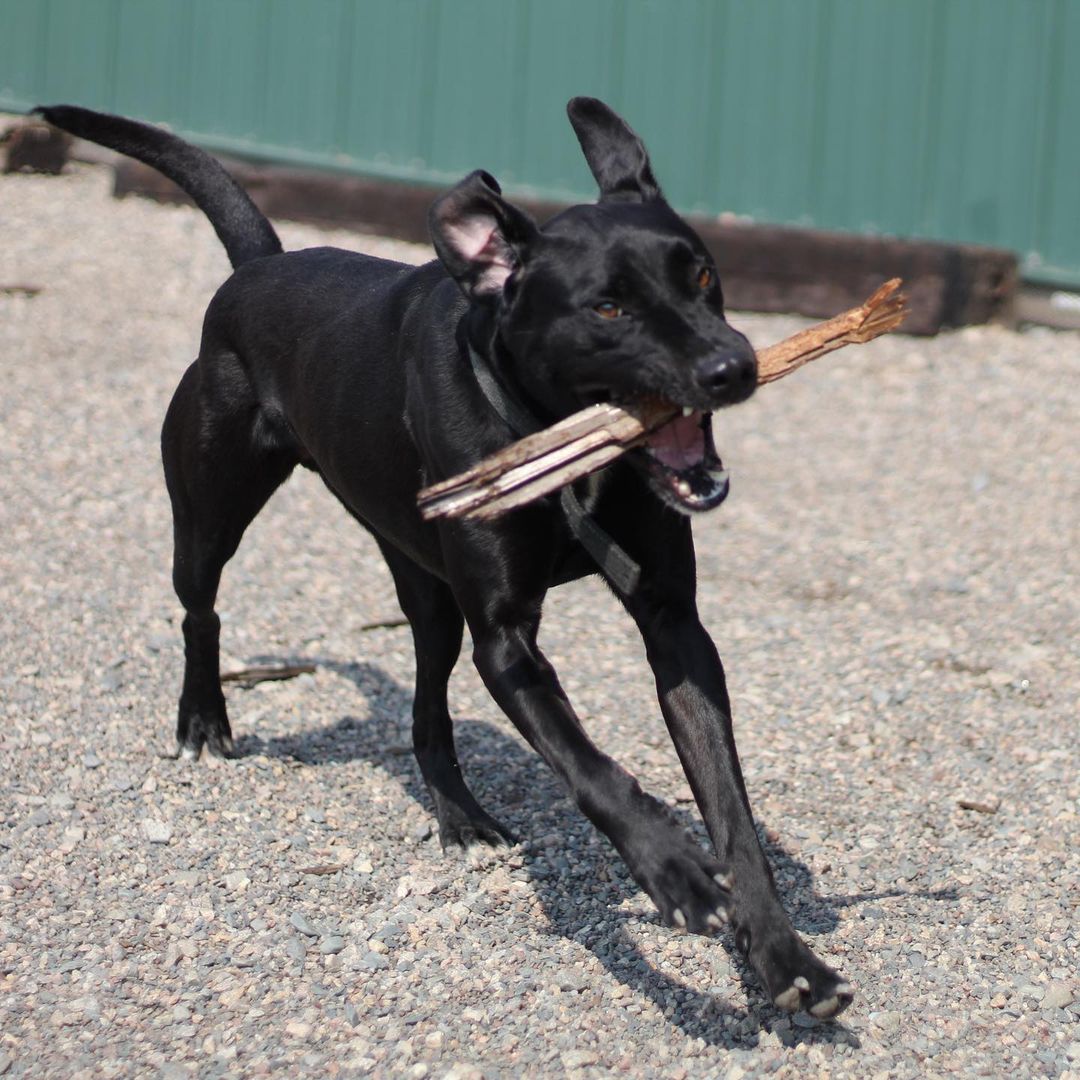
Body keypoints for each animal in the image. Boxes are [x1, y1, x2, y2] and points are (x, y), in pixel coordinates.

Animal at [39, 97, 851, 1015]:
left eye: (703, 276)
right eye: (608, 308)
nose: (732, 367)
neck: (555, 445)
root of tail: (259, 268)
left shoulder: (674, 627)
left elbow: (730, 807)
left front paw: (784, 955)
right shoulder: (506, 639)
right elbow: (592, 771)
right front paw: (672, 870)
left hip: (425, 589)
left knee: (429, 710)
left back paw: (461, 817)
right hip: (211, 511)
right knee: (199, 607)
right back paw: (205, 719)